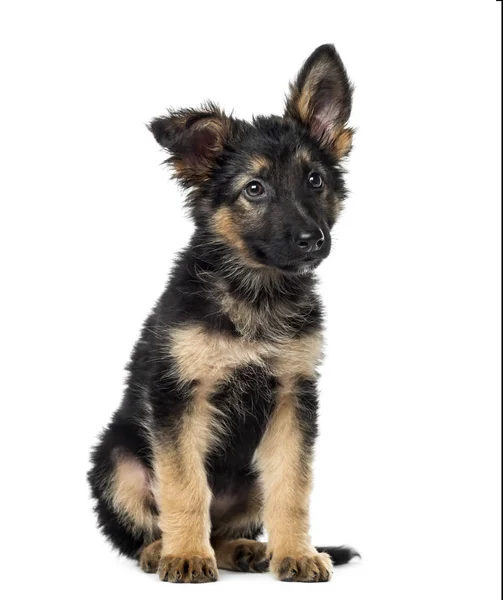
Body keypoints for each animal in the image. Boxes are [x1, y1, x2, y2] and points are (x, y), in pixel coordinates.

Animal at [88, 44, 360, 584]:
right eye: (254, 189)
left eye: (314, 180)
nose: (312, 240)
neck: (255, 293)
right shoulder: (178, 399)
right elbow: (183, 486)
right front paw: (186, 555)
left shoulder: (293, 399)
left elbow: (292, 488)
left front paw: (297, 553)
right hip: (116, 459)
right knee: (143, 526)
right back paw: (164, 550)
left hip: (249, 471)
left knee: (229, 526)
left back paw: (246, 549)